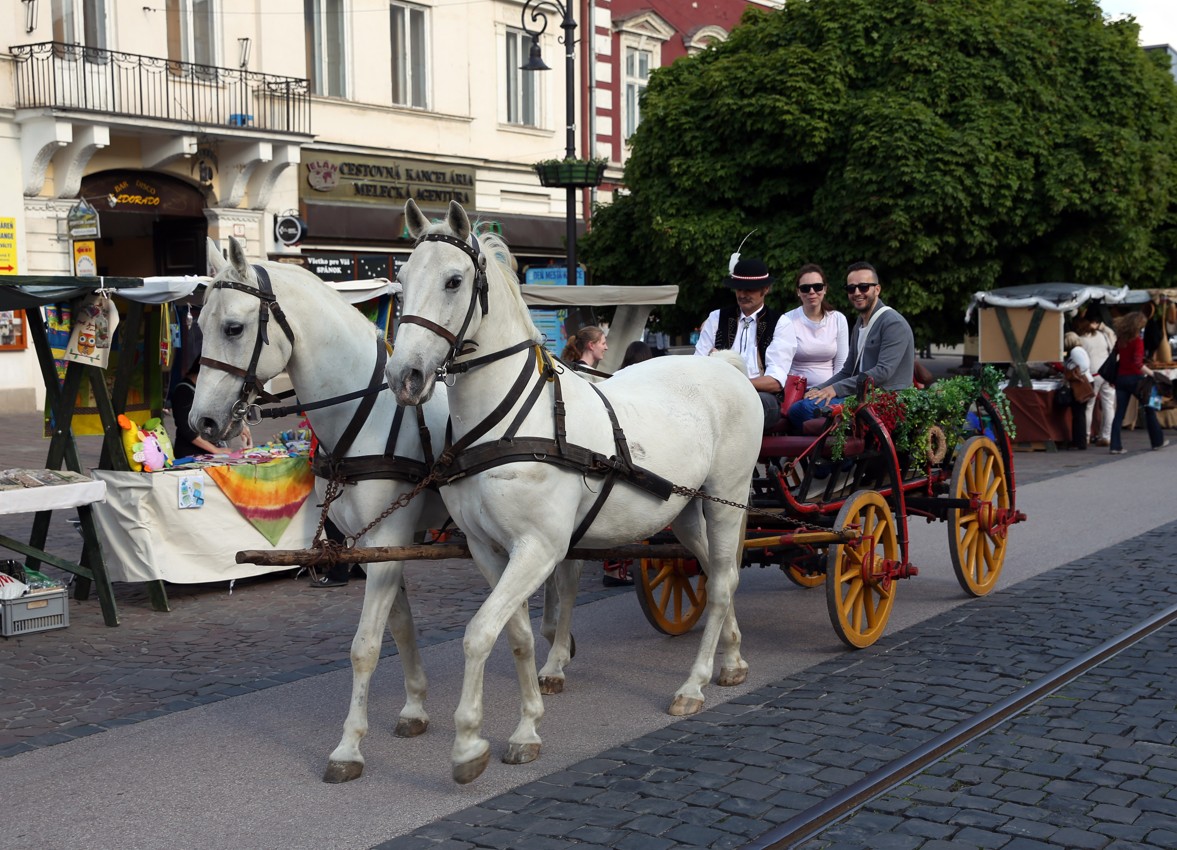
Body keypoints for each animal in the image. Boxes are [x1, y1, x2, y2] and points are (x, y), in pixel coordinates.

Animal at [188, 235, 583, 786]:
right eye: (199, 325)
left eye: (233, 327)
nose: (201, 420)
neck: (365, 415)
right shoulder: (372, 545)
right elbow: (400, 628)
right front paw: (414, 707)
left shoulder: (387, 538)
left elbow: (366, 645)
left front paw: (350, 746)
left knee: (566, 581)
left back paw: (555, 661)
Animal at [381, 200, 757, 781]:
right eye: (399, 285)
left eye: (453, 280)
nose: (405, 375)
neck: (508, 423)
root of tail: (724, 365)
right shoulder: (488, 550)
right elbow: (514, 634)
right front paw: (527, 726)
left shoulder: (539, 548)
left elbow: (478, 633)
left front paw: (468, 742)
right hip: (687, 511)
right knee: (723, 574)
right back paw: (732, 660)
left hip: (727, 503)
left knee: (718, 586)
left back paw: (693, 685)